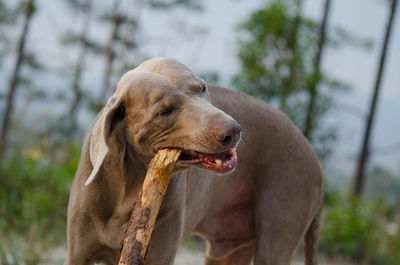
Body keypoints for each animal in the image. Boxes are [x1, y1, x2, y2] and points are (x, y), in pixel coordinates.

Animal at [64, 57, 324, 264]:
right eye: (164, 112)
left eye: (203, 88)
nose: (234, 131)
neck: (129, 186)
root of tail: (315, 161)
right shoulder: (78, 255)